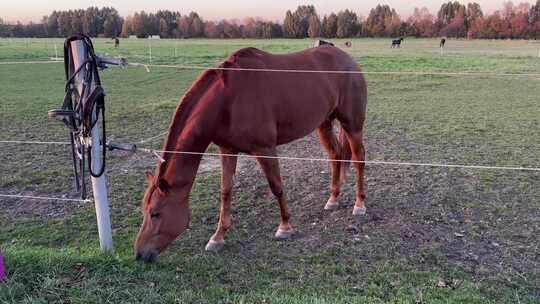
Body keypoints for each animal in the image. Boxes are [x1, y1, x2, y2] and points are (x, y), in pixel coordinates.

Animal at [133, 44, 370, 262]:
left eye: (155, 213)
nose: (140, 254)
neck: (228, 100)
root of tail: (347, 58)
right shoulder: (227, 150)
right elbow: (225, 192)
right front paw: (217, 237)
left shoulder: (265, 149)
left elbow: (277, 188)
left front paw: (284, 227)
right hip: (324, 123)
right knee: (336, 155)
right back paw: (333, 199)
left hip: (352, 124)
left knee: (359, 158)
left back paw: (359, 205)